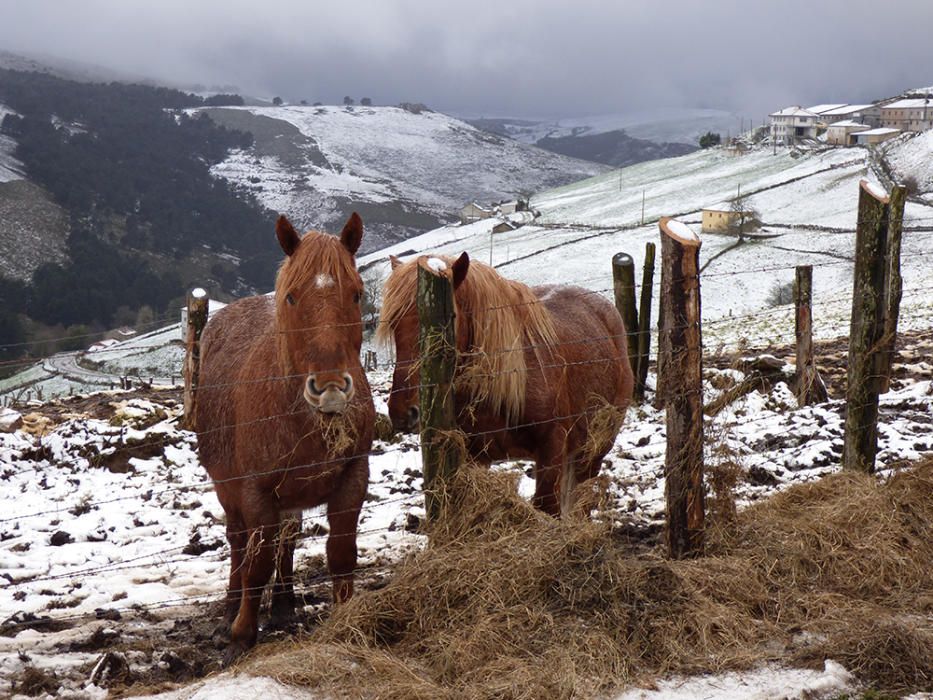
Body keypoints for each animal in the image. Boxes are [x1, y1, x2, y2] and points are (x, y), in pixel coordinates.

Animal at [197, 212, 374, 660]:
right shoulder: (255, 492)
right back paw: (231, 610)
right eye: (291, 297)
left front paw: (344, 618)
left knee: (287, 541)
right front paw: (242, 633)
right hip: (229, 489)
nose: (330, 388)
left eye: (357, 294)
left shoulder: (353, 477)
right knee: (239, 543)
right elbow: (256, 562)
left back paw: (283, 606)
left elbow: (341, 554)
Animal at [378, 252, 632, 516]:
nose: (402, 413)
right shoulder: (476, 456)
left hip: (595, 447)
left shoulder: (552, 450)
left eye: (446, 323)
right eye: (394, 324)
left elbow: (548, 508)